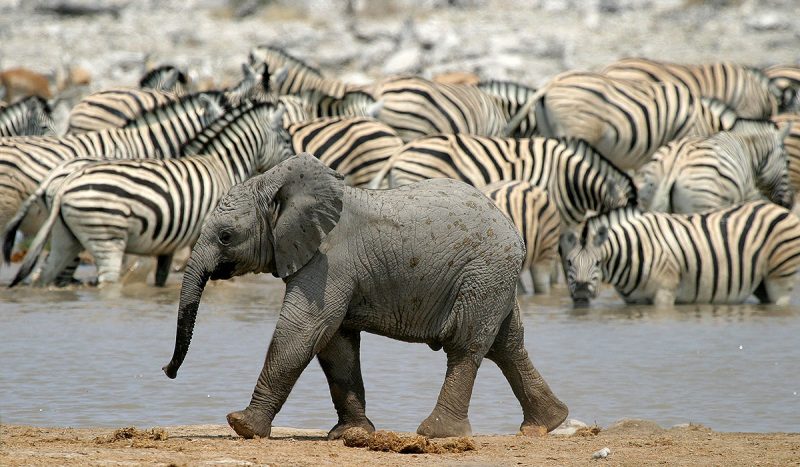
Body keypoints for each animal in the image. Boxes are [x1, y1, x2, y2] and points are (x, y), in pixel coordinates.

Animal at [163, 154, 568, 440]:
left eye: (226, 236)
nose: (168, 372)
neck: (278, 182)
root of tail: (513, 229)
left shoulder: (329, 260)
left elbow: (303, 331)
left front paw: (242, 425)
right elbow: (334, 344)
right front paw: (351, 433)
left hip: (482, 275)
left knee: (465, 346)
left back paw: (438, 434)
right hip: (495, 280)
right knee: (507, 345)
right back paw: (545, 424)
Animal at [559, 200, 800, 307]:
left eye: (598, 263)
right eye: (569, 262)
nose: (581, 293)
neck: (634, 251)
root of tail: (781, 209)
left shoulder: (664, 294)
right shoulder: (634, 302)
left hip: (780, 278)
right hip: (762, 285)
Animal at [636, 120, 794, 214]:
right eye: (787, 161)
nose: (789, 204)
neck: (748, 150)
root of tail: (676, 161)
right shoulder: (746, 193)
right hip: (703, 203)